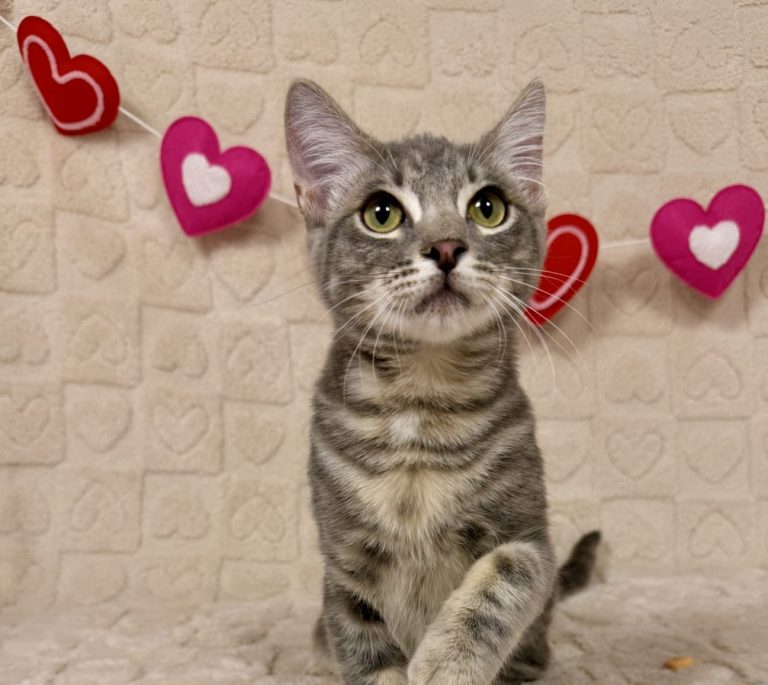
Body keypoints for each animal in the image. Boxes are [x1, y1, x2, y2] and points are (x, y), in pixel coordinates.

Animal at [283, 78, 600, 685]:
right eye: (381, 213)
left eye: (488, 207)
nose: (448, 246)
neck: (422, 404)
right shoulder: (344, 565)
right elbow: (363, 648)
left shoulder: (530, 538)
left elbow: (503, 580)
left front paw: (447, 661)